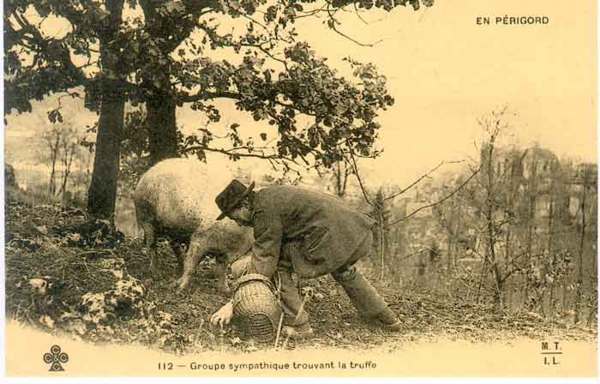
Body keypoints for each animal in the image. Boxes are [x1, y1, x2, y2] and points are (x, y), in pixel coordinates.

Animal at [134, 158, 253, 292]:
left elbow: (221, 270)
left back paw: (178, 269)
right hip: (145, 215)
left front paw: (225, 290)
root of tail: (146, 174)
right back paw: (156, 273)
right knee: (151, 244)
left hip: (173, 227)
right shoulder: (200, 238)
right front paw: (179, 289)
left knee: (173, 245)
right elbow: (191, 263)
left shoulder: (224, 252)